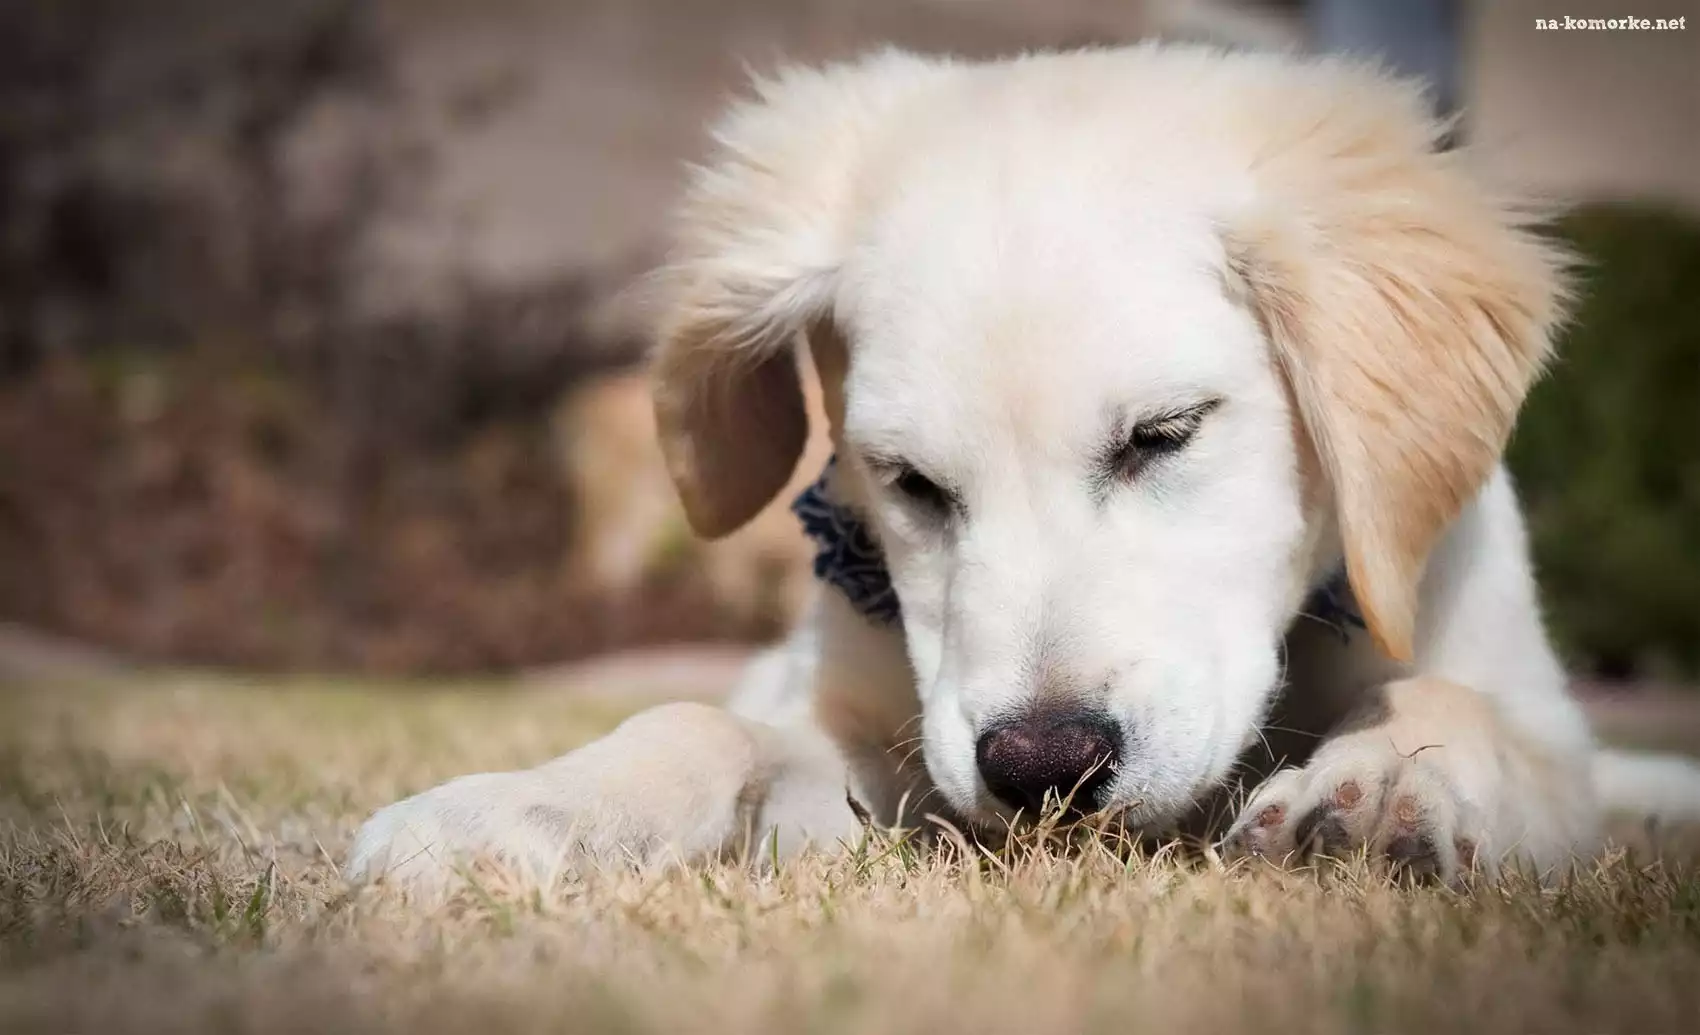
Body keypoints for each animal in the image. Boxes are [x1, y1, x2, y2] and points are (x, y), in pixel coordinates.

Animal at [347, 43, 1700, 888]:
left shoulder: (1531, 716)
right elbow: (696, 720)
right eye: (905, 481)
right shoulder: (876, 742)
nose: (1042, 771)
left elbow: (1456, 708)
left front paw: (1374, 792)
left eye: (1164, 433)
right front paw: (531, 806)